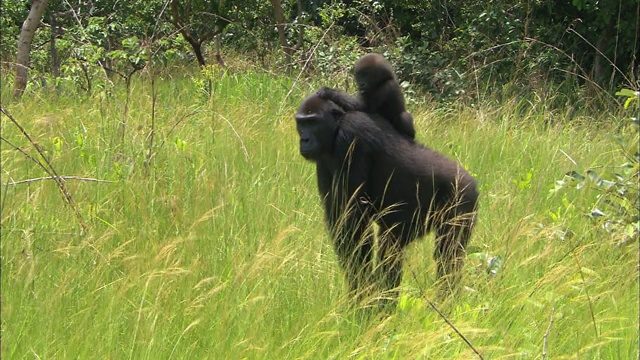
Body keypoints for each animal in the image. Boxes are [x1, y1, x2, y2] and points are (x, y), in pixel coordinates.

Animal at [298, 91, 478, 302]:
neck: (336, 125)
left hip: (463, 198)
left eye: (313, 122)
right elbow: (340, 221)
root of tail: (472, 181)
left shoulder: (351, 135)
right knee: (392, 249)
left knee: (448, 255)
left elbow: (354, 223)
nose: (304, 140)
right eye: (301, 123)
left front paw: (362, 293)